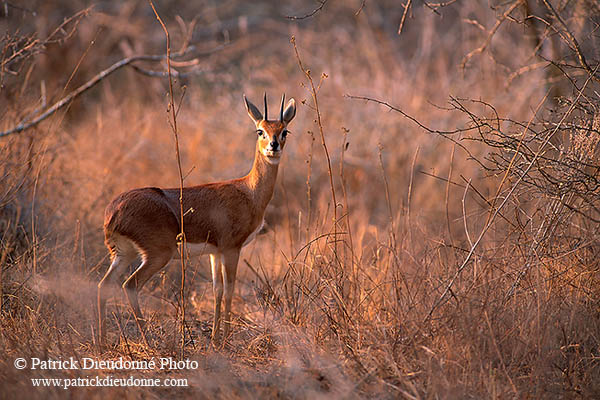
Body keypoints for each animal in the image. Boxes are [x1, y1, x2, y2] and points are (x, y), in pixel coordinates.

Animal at [97, 94, 296, 346]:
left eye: (284, 131)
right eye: (260, 131)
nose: (273, 146)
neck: (249, 192)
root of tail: (113, 212)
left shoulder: (214, 252)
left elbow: (217, 290)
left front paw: (215, 339)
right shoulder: (231, 248)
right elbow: (230, 290)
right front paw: (226, 339)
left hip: (124, 254)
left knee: (103, 286)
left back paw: (102, 343)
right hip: (158, 254)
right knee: (130, 285)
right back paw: (149, 341)